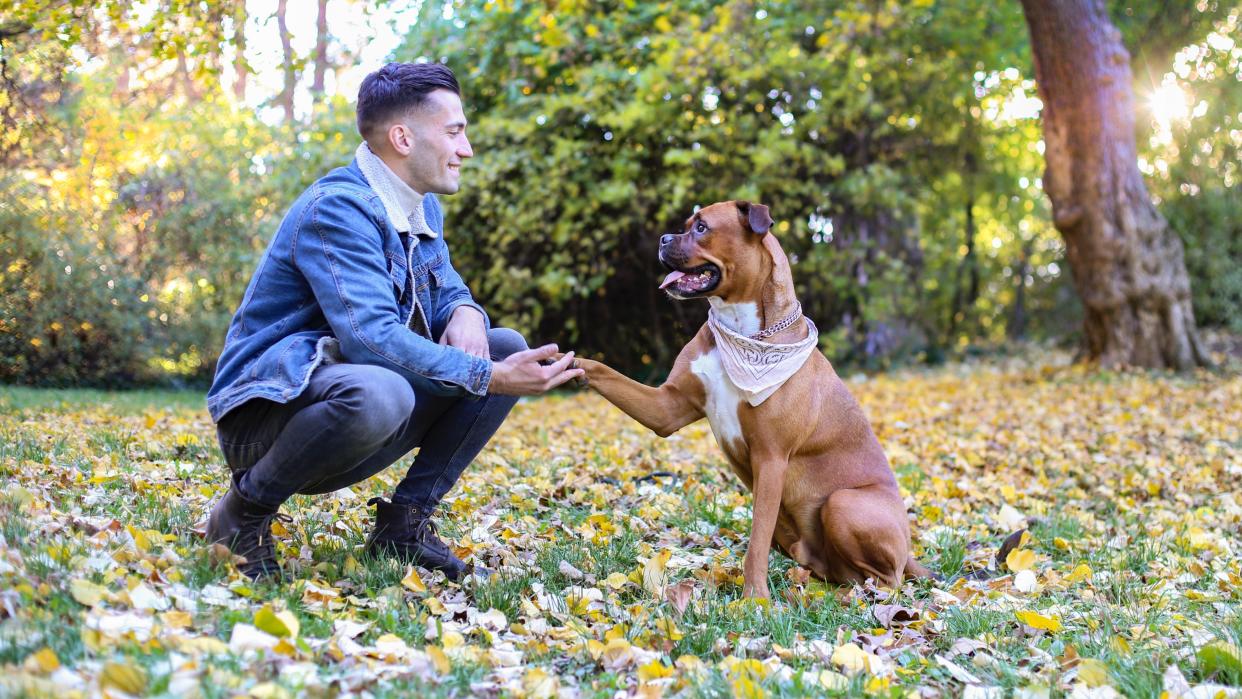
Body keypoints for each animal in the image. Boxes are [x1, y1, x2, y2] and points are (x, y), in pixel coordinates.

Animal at [568, 199, 929, 598]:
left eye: (702, 228)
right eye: (686, 225)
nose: (663, 239)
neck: (742, 331)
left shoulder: (770, 459)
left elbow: (756, 542)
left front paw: (755, 599)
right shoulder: (667, 407)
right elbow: (604, 372)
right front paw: (564, 363)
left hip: (844, 502)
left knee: (887, 580)